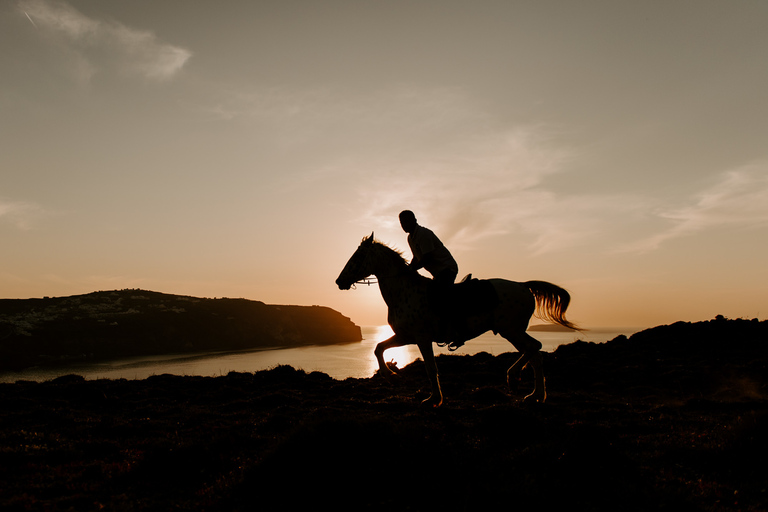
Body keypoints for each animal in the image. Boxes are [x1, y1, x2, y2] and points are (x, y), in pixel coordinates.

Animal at [332, 234, 580, 406]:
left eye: (357, 257)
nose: (339, 281)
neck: (404, 290)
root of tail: (523, 285)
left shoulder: (421, 337)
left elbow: (430, 367)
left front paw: (434, 399)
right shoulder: (405, 336)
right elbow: (378, 348)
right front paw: (391, 376)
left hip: (510, 329)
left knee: (534, 347)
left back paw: (514, 377)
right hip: (511, 330)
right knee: (534, 352)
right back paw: (535, 395)